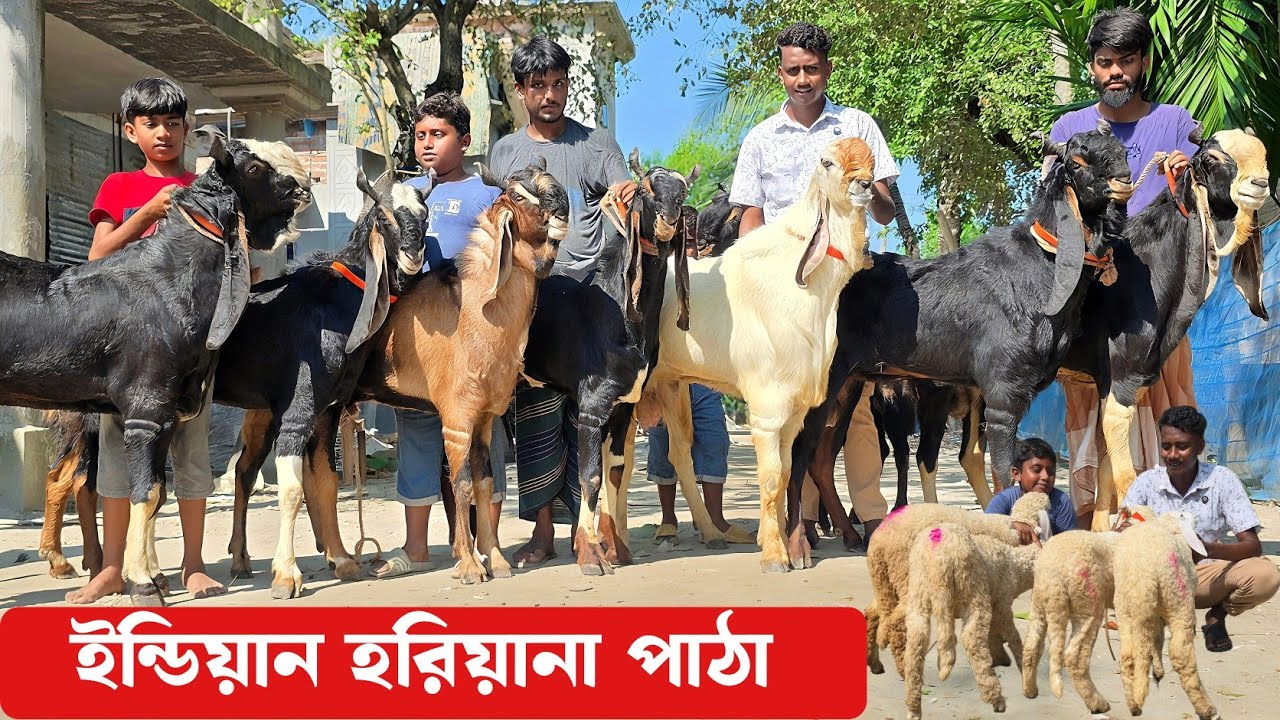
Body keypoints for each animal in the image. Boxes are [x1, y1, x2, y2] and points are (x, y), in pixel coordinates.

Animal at [1, 135, 310, 600]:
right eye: (255, 167)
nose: (306, 183)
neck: (169, 277)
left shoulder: (170, 408)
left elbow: (159, 491)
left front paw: (153, 573)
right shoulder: (146, 405)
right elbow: (144, 493)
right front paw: (144, 583)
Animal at [519, 149, 699, 576]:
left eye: (683, 192)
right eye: (647, 191)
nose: (669, 219)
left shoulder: (623, 409)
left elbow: (616, 473)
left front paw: (616, 549)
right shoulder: (591, 408)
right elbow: (590, 477)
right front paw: (589, 555)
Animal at [625, 137, 878, 573]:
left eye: (872, 163)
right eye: (827, 162)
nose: (863, 185)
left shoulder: (797, 410)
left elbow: (790, 470)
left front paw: (783, 544)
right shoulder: (767, 403)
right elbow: (773, 477)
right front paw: (776, 554)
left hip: (672, 385)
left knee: (679, 454)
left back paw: (711, 532)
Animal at [789, 122, 1132, 560]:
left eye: (1121, 149)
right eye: (1078, 161)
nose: (1123, 178)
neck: (1043, 266)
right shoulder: (1004, 392)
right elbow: (1003, 472)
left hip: (849, 386)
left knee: (819, 457)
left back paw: (846, 535)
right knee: (798, 452)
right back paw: (795, 546)